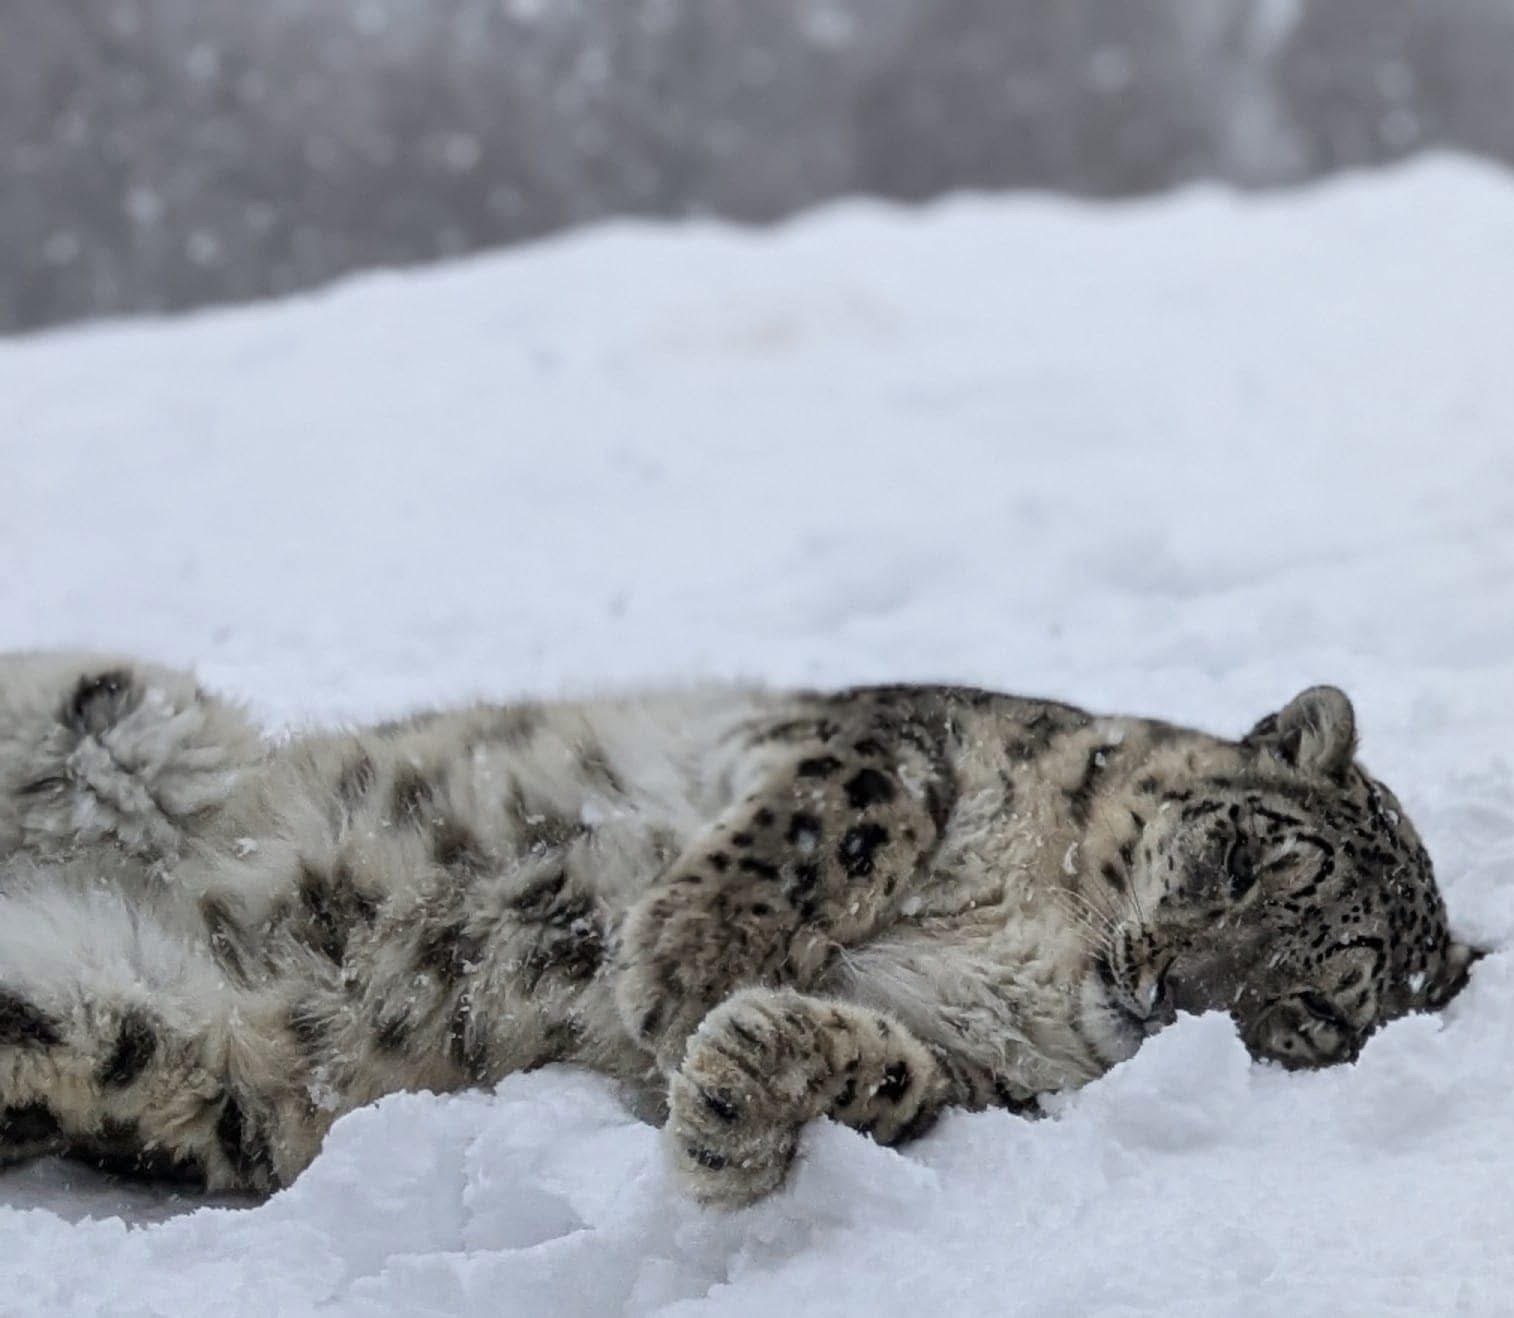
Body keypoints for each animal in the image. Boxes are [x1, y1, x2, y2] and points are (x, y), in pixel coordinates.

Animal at [0, 653, 1471, 1210]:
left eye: (1305, 1007)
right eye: (1236, 857)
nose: (1175, 990)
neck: (1042, 937)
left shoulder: (989, 1076)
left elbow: (903, 1078)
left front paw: (736, 1080)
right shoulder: (889, 730)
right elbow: (841, 811)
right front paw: (686, 958)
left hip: (124, 1036)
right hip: (129, 719)